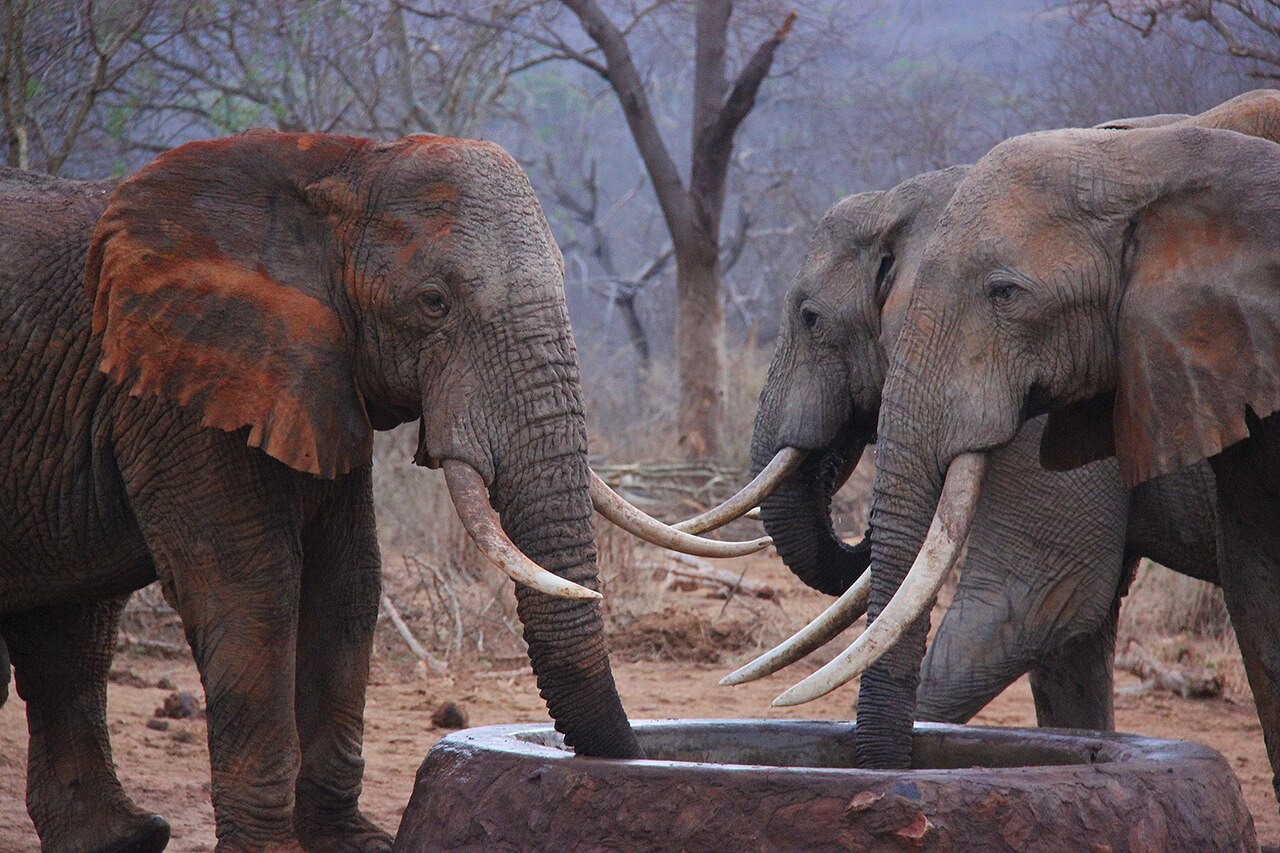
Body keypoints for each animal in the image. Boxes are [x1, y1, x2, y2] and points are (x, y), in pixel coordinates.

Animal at [0, 132, 758, 852]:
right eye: (434, 304)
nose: (628, 765)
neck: (338, 168)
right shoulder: (182, 387)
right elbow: (250, 587)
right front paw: (270, 850)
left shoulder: (311, 376)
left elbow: (349, 584)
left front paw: (355, 843)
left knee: (68, 639)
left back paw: (123, 840)